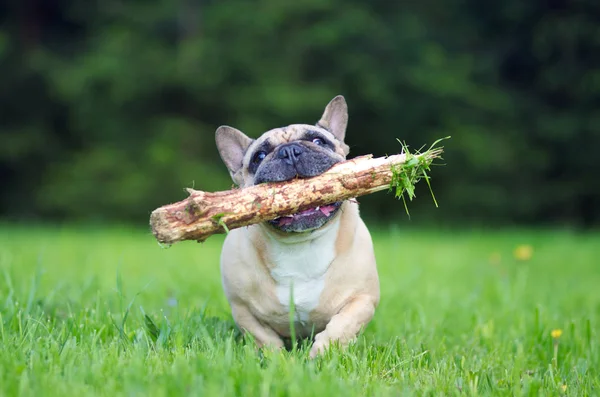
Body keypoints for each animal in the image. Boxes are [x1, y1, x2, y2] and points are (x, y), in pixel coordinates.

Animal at [213, 95, 378, 356]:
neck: (301, 243)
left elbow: (343, 326)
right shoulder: (243, 310)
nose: (290, 151)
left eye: (319, 141)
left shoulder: (363, 299)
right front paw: (277, 360)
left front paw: (322, 353)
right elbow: (263, 337)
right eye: (259, 157)